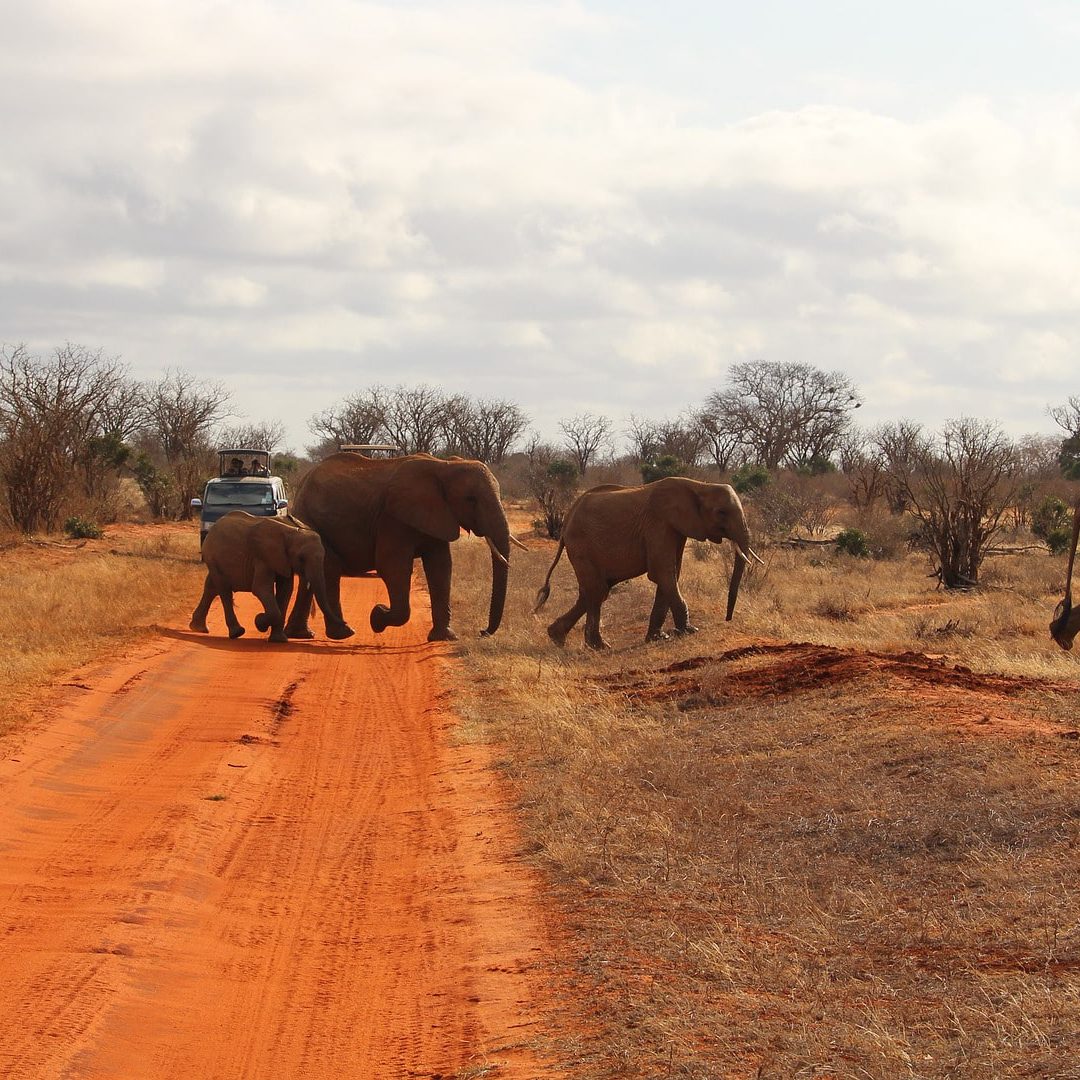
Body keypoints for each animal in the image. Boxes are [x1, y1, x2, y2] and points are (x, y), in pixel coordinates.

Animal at [190, 511, 355, 643]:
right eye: (301, 558)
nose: (350, 628)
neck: (292, 532)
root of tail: (213, 527)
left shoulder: (284, 560)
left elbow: (286, 590)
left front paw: (279, 640)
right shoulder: (263, 557)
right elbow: (261, 589)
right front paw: (259, 622)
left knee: (211, 587)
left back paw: (198, 627)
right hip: (213, 557)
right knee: (223, 591)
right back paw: (237, 632)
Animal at [283, 452, 523, 642]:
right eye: (470, 499)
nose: (482, 632)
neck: (444, 466)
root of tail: (303, 482)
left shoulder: (437, 516)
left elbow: (441, 567)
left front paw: (444, 638)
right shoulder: (392, 519)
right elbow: (392, 567)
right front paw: (377, 617)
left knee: (313, 575)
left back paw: (302, 635)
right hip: (311, 520)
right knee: (329, 569)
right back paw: (342, 633)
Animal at [534, 477, 761, 650]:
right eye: (721, 512)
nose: (728, 618)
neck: (699, 485)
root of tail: (566, 522)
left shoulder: (675, 529)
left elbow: (672, 574)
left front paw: (659, 638)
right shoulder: (659, 524)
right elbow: (663, 573)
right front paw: (689, 631)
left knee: (593, 591)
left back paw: (557, 637)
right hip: (581, 545)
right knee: (596, 591)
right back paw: (598, 647)